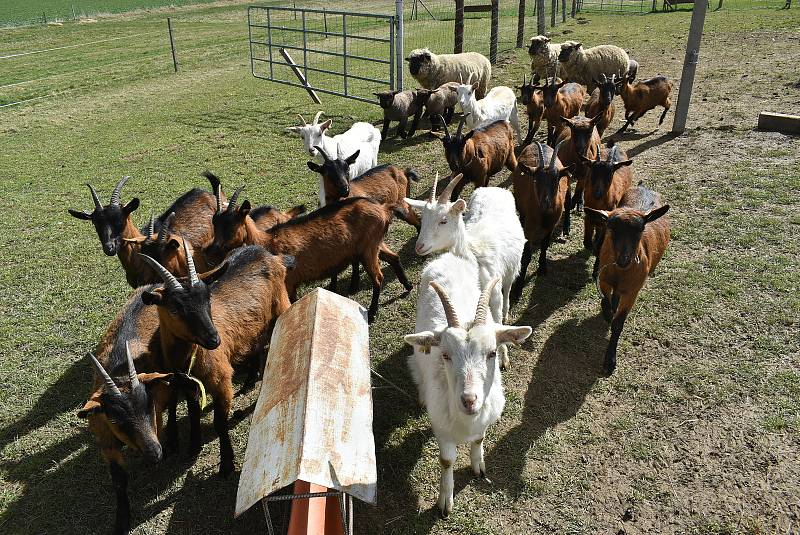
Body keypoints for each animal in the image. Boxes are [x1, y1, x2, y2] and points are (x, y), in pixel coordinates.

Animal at [141, 245, 294, 476]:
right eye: (174, 309)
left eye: (208, 299)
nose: (214, 339)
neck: (191, 358)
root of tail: (268, 253)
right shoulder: (188, 384)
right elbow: (194, 413)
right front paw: (194, 446)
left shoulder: (221, 382)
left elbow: (219, 424)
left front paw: (226, 465)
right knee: (257, 342)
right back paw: (249, 382)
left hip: (282, 304)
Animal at [406, 174, 524, 370]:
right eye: (423, 220)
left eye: (443, 220)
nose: (419, 246)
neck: (473, 254)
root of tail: (494, 189)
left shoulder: (494, 295)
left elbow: (497, 321)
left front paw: (504, 358)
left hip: (512, 266)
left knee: (508, 286)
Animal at [406, 276, 532, 520]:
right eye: (445, 355)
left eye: (492, 352)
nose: (469, 400)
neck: (467, 421)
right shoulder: (442, 428)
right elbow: (447, 461)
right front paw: (445, 501)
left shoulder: (484, 420)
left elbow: (479, 440)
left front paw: (478, 466)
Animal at [512, 140, 576, 300]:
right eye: (535, 180)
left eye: (556, 179)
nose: (545, 203)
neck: (543, 216)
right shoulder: (527, 228)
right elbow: (526, 256)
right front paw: (517, 288)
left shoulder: (551, 225)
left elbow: (545, 244)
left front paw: (542, 267)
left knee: (568, 202)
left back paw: (566, 227)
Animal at [584, 183, 672, 372]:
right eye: (611, 228)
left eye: (641, 229)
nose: (624, 259)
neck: (620, 272)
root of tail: (644, 186)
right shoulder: (604, 280)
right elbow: (605, 301)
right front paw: (608, 314)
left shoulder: (632, 292)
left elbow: (618, 323)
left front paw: (610, 361)